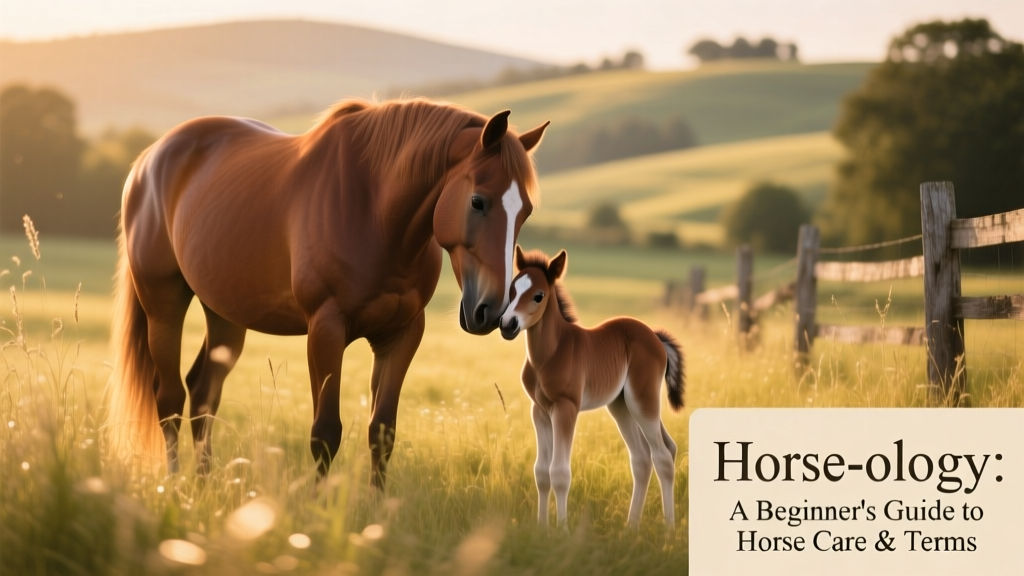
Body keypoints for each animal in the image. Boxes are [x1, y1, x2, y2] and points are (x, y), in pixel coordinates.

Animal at [106, 98, 549, 486]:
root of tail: (148, 160)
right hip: (163, 304)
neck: (373, 211)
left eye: (526, 211)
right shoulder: (326, 329)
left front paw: (376, 513)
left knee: (202, 394)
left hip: (226, 314)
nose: (490, 312)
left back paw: (202, 485)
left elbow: (382, 432)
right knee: (169, 400)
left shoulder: (402, 334)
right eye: (478, 201)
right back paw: (175, 487)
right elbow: (325, 433)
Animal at [498, 247, 684, 528]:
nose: (507, 324)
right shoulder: (539, 411)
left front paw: (562, 530)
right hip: (621, 406)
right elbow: (541, 472)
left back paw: (668, 528)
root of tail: (655, 336)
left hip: (642, 400)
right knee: (645, 457)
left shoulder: (566, 408)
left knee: (662, 455)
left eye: (539, 296)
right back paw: (631, 528)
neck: (550, 354)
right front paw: (542, 528)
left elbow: (559, 473)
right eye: (511, 290)